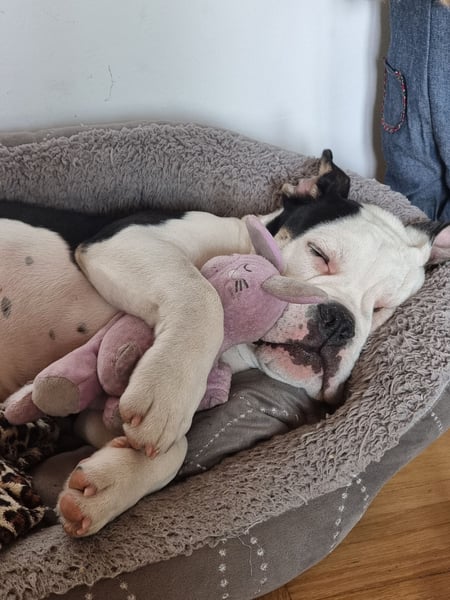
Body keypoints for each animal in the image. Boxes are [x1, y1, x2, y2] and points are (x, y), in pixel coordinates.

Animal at [1, 150, 449, 536]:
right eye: (318, 253)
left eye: (382, 307)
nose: (339, 322)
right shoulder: (122, 240)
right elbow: (201, 292)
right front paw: (168, 394)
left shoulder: (91, 415)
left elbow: (175, 448)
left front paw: (109, 485)